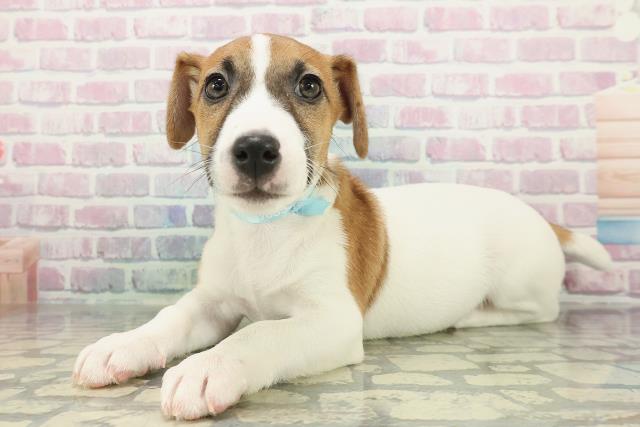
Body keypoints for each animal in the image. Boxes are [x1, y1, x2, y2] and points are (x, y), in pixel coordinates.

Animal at [72, 34, 613, 420]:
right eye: (215, 86)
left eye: (310, 86)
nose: (255, 149)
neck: (267, 231)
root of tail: (544, 220)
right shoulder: (212, 303)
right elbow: (170, 318)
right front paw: (122, 344)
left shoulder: (332, 320)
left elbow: (259, 334)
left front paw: (210, 366)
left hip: (519, 284)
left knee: (542, 308)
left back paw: (472, 316)